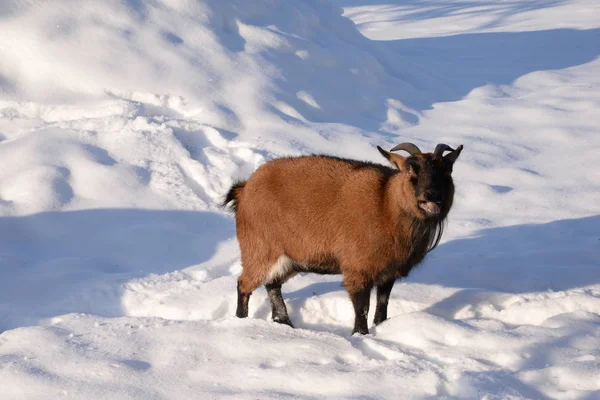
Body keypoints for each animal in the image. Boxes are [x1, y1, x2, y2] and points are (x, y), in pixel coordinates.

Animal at [223, 144, 462, 334]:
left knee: (272, 284)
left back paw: (284, 322)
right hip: (260, 249)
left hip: (290, 259)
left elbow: (382, 306)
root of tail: (244, 189)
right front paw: (360, 335)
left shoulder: (388, 273)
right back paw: (242, 321)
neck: (386, 204)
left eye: (447, 170)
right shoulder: (358, 269)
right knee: (244, 284)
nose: (432, 195)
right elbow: (362, 308)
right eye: (411, 169)